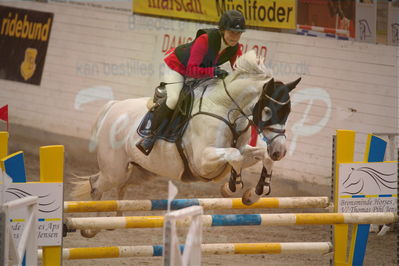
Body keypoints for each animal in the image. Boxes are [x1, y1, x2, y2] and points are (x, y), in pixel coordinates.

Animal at [72, 51, 300, 238]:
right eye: (268, 111)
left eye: (288, 112)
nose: (280, 150)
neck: (226, 110)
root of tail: (113, 107)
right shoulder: (202, 161)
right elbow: (234, 156)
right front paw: (231, 186)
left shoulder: (244, 151)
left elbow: (259, 155)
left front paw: (254, 193)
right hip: (115, 170)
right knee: (96, 185)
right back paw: (90, 227)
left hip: (140, 171)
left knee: (114, 186)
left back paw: (113, 220)